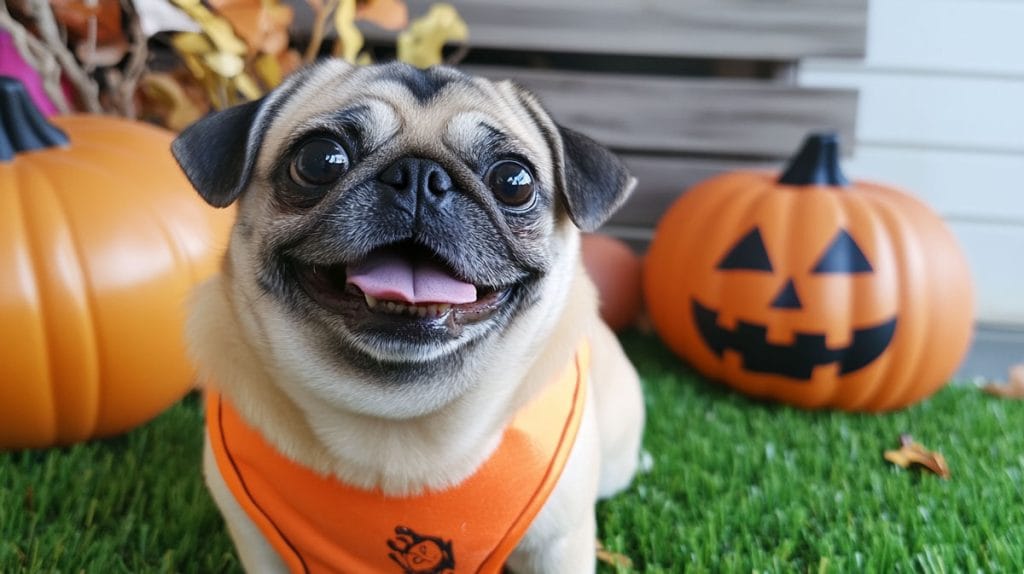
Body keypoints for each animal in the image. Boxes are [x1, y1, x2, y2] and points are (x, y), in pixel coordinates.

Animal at [172, 59, 643, 572]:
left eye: (513, 182)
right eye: (320, 160)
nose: (419, 174)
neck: (397, 420)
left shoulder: (556, 547)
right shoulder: (259, 546)